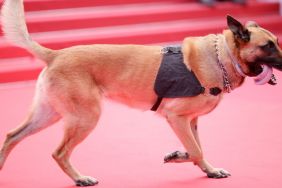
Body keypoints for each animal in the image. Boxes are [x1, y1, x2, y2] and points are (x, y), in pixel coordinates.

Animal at [0, 0, 282, 187]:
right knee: (59, 152)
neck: (222, 57)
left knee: (12, 136)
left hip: (51, 115)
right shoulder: (176, 118)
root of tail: (56, 54)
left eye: (276, 42)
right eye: (268, 46)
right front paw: (179, 155)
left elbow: (198, 148)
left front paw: (207, 169)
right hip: (85, 118)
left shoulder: (191, 121)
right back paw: (80, 178)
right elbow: (195, 150)